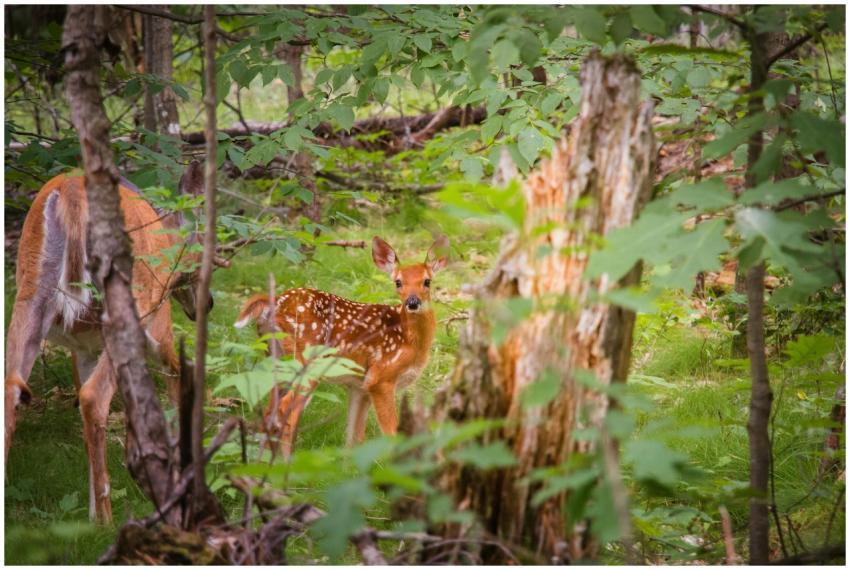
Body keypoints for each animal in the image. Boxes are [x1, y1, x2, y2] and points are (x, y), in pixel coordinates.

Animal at [4, 162, 212, 523]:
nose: (208, 303)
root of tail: (72, 190)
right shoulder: (158, 325)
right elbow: (175, 376)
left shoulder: (83, 346)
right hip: (131, 301)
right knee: (94, 397)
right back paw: (106, 519)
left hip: (30, 291)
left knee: (11, 391)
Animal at [234, 235, 449, 457]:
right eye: (398, 282)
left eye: (427, 281)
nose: (412, 302)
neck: (409, 339)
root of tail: (273, 303)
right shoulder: (381, 377)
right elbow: (392, 434)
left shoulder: (359, 387)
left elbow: (354, 439)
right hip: (306, 363)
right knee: (285, 413)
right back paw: (286, 461)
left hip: (276, 358)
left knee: (268, 412)